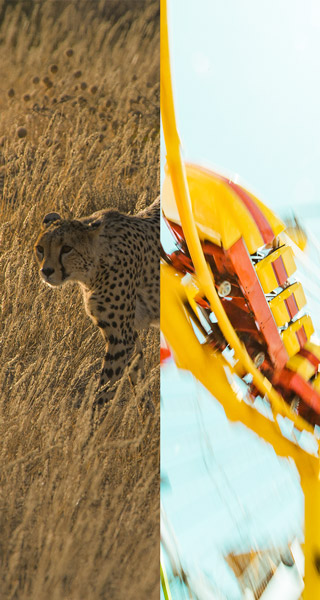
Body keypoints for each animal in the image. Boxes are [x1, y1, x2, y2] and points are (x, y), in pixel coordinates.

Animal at [34, 199, 159, 410]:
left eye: (66, 248)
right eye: (40, 249)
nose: (47, 271)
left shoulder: (121, 338)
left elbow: (103, 389)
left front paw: (87, 418)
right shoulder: (128, 334)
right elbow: (138, 379)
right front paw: (147, 415)